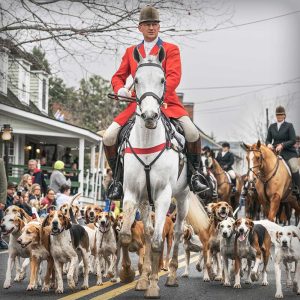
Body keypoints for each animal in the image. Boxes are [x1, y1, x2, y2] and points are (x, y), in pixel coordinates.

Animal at [118, 47, 190, 298]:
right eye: (136, 80)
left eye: (163, 80)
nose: (150, 116)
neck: (148, 141)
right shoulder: (132, 193)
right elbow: (127, 235)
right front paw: (133, 275)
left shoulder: (163, 196)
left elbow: (159, 241)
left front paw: (154, 285)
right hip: (144, 200)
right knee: (149, 232)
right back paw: (145, 277)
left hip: (182, 198)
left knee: (177, 233)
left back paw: (171, 276)